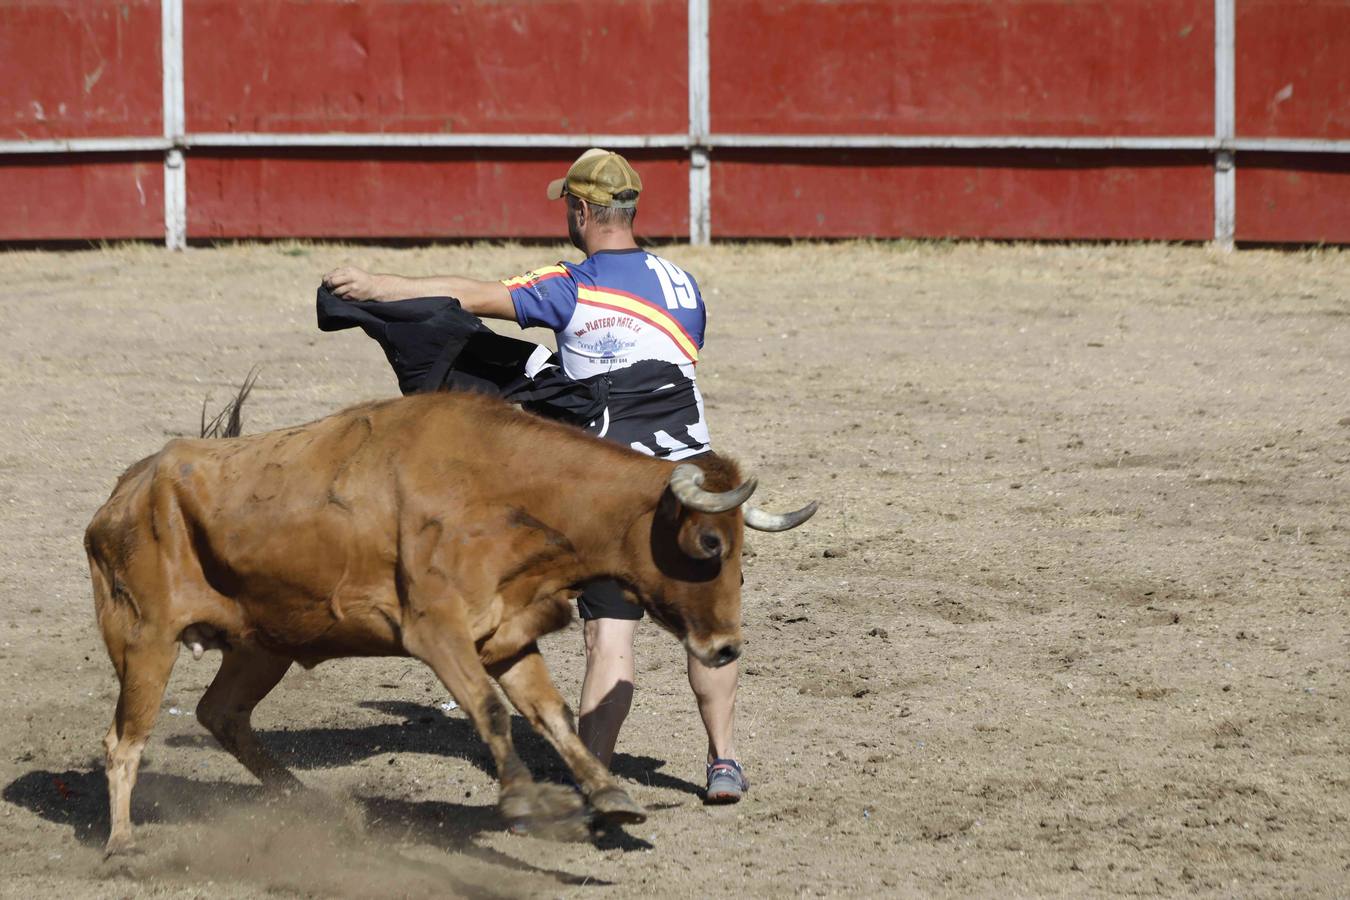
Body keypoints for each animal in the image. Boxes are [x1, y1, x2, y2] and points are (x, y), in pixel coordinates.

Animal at [92, 391, 820, 858]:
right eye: (709, 544)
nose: (724, 648)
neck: (502, 488)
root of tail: (127, 490)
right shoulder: (435, 632)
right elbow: (490, 710)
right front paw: (525, 800)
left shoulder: (507, 634)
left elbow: (551, 714)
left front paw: (608, 793)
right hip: (145, 638)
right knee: (124, 740)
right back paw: (122, 843)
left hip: (262, 644)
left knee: (221, 714)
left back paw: (309, 802)